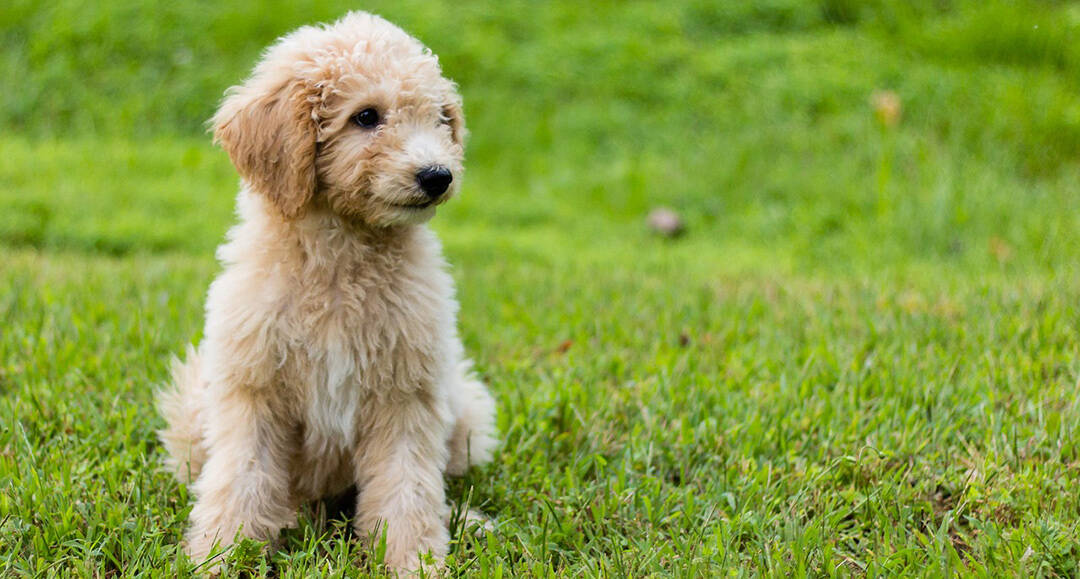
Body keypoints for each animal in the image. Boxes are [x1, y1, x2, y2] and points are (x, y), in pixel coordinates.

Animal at [156, 11, 496, 570]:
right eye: (366, 116)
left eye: (439, 119)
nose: (438, 176)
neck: (341, 259)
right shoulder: (253, 387)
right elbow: (240, 479)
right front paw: (219, 556)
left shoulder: (406, 393)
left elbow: (407, 487)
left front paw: (413, 562)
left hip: (462, 407)